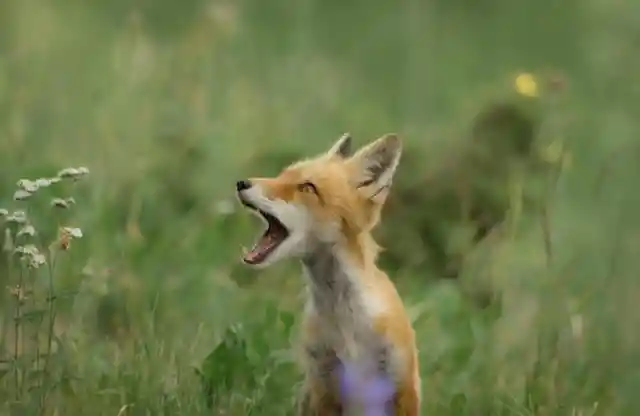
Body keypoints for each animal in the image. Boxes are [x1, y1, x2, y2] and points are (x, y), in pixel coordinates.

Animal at [235, 133, 420, 416]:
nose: (241, 182)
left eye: (307, 187)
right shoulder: (323, 389)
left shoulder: (403, 387)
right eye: (281, 176)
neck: (345, 324)